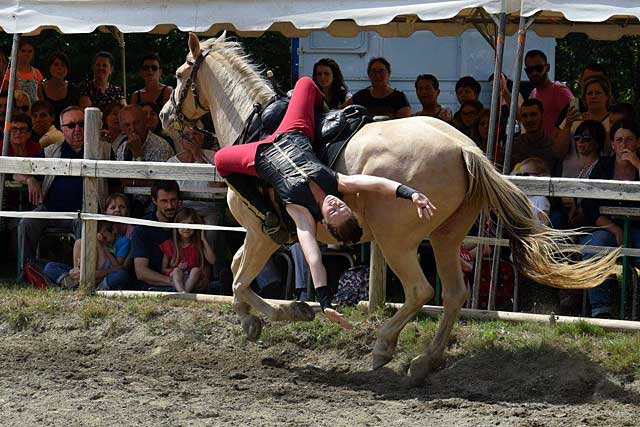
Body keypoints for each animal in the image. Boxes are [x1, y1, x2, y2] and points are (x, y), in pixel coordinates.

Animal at [160, 34, 620, 384]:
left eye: (180, 75)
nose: (165, 116)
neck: (258, 127)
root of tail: (466, 149)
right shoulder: (265, 236)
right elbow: (237, 270)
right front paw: (253, 320)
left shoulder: (264, 232)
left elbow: (239, 279)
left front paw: (286, 311)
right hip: (445, 236)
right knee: (455, 294)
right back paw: (424, 363)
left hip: (397, 241)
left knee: (421, 291)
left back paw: (384, 346)